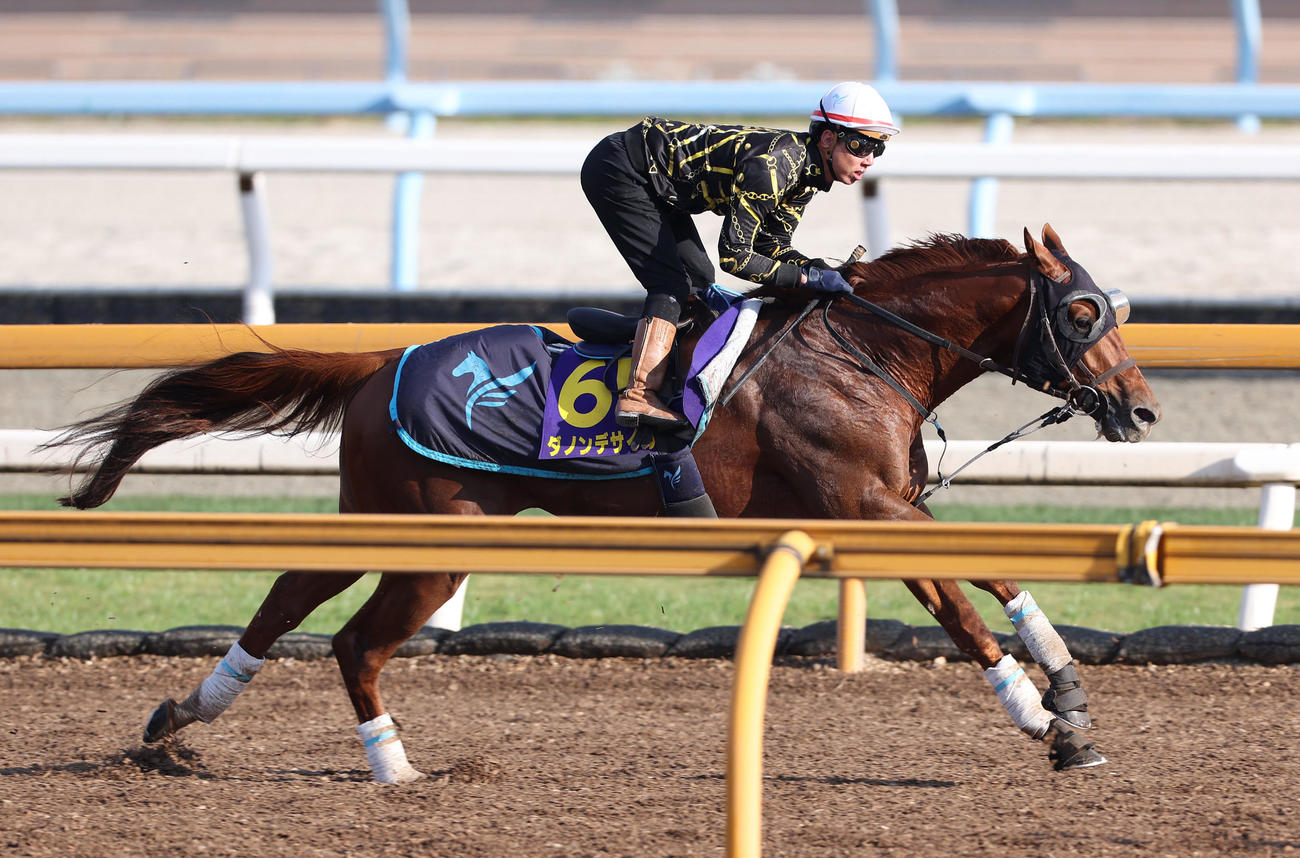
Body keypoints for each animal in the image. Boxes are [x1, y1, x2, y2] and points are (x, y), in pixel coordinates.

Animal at [48, 224, 1160, 783]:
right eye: (1080, 311)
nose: (1142, 408)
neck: (864, 351)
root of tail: (383, 359)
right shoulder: (863, 506)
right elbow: (965, 604)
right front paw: (1043, 717)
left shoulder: (880, 508)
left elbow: (992, 577)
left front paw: (1066, 691)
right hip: (436, 541)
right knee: (355, 642)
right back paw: (395, 770)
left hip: (382, 514)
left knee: (286, 599)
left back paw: (181, 720)